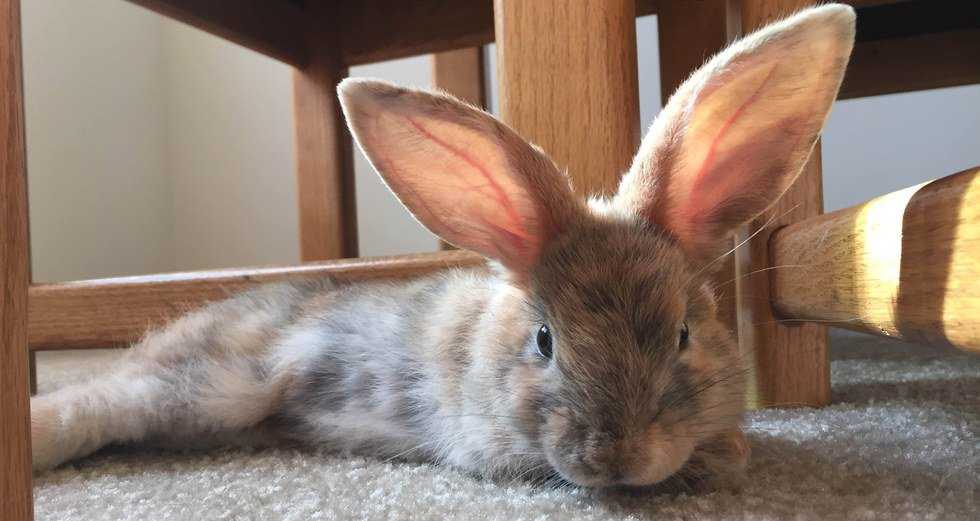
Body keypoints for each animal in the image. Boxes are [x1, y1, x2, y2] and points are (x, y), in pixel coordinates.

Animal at [30, 4, 855, 489]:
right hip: (212, 382)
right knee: (97, 399)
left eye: (683, 334)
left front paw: (724, 455)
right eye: (545, 341)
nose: (613, 458)